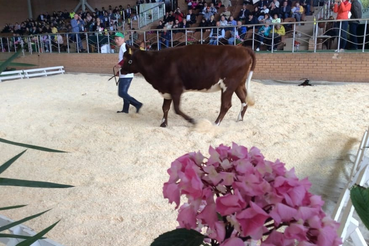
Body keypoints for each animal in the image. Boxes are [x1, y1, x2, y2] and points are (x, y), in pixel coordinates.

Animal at [119, 44, 254, 128]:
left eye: (127, 59)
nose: (120, 70)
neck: (157, 62)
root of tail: (241, 49)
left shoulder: (176, 89)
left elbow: (177, 109)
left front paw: (193, 121)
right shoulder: (166, 90)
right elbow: (165, 108)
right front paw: (163, 124)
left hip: (228, 85)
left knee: (226, 105)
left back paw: (216, 123)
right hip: (238, 84)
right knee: (244, 101)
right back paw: (239, 119)